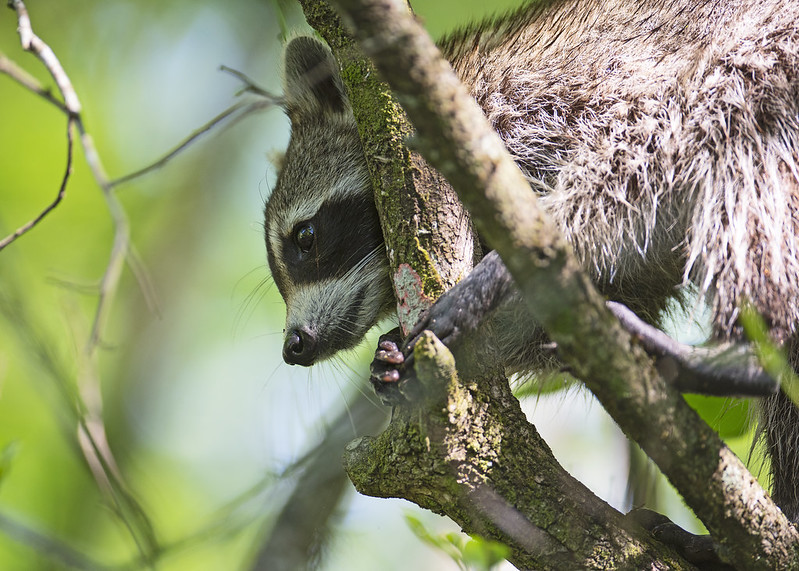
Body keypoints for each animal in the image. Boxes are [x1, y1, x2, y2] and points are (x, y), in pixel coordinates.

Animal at [266, 0, 799, 524]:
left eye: (305, 238)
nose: (294, 346)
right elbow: (609, 302)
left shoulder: (567, 92)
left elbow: (638, 151)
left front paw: (510, 266)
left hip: (772, 61)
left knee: (738, 136)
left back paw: (751, 351)